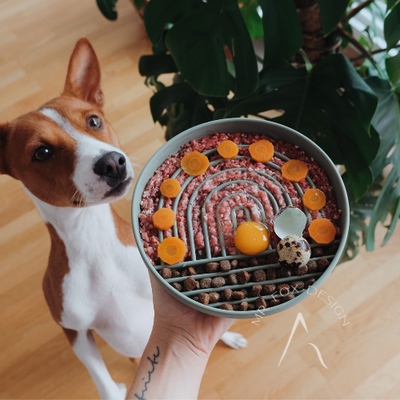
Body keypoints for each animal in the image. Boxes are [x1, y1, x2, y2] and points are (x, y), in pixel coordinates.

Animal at [0, 38, 247, 400]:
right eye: (41, 152)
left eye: (93, 122)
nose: (111, 163)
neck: (93, 241)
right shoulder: (75, 332)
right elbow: (101, 379)